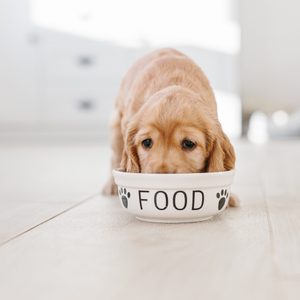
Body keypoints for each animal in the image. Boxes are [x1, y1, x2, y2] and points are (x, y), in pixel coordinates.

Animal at [103, 48, 239, 207]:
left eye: (189, 143)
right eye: (146, 142)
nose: (162, 176)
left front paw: (229, 198)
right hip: (115, 128)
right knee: (115, 156)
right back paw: (111, 186)